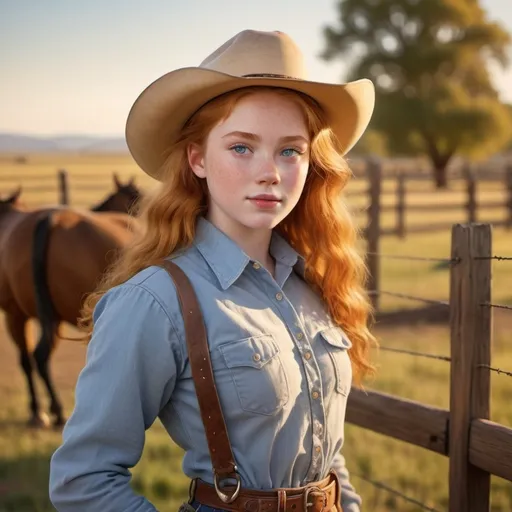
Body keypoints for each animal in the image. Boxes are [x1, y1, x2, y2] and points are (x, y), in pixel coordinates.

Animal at [0, 188, 138, 428]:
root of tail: (50, 220)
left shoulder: (16, 313)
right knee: (41, 355)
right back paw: (56, 411)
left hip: (31, 316)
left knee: (31, 358)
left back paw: (41, 412)